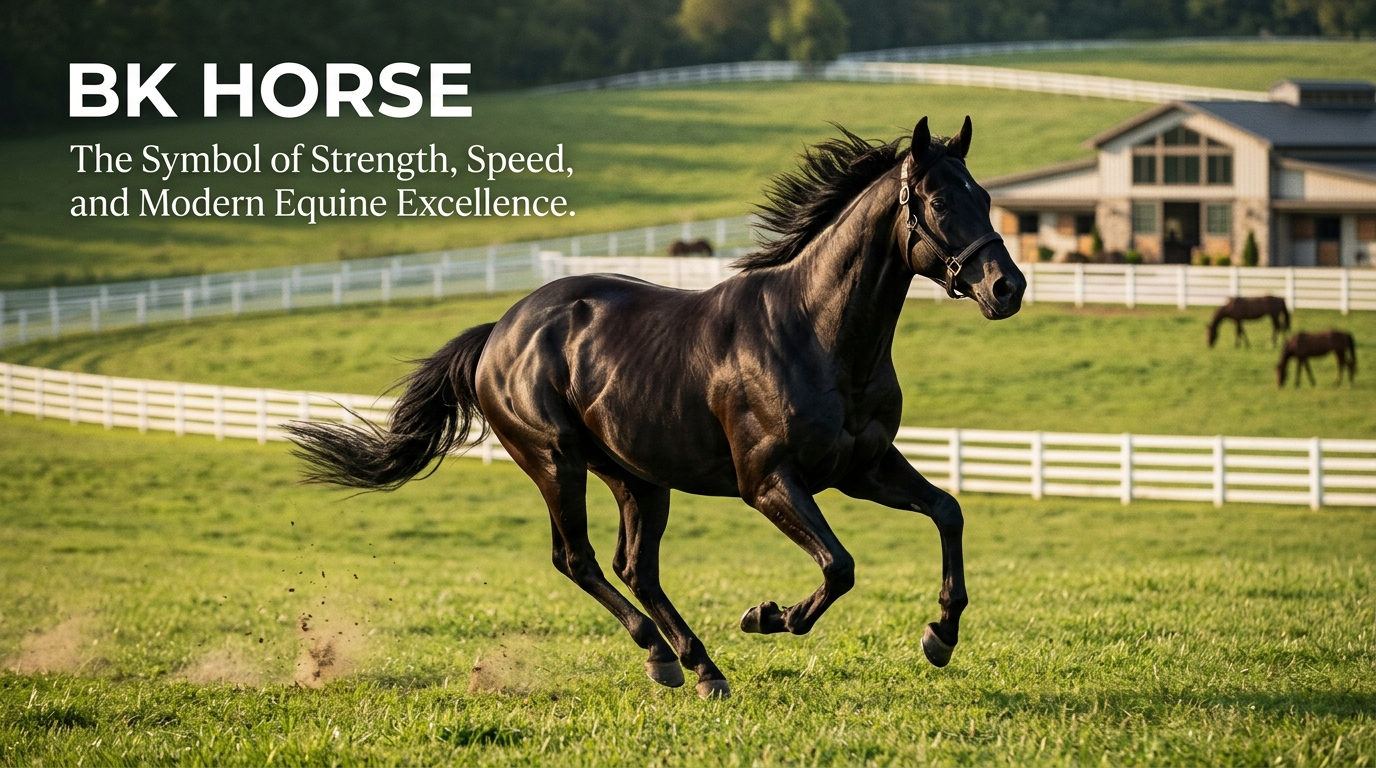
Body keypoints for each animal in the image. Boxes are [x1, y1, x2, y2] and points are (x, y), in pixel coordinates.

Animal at [288, 117, 1026, 699]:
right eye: (937, 199)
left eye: (985, 196)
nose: (1007, 287)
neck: (816, 333)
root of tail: (499, 333)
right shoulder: (768, 482)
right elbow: (838, 566)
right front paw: (768, 616)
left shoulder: (861, 468)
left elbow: (947, 512)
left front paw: (939, 635)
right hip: (556, 463)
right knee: (578, 559)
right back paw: (669, 657)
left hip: (637, 477)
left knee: (633, 567)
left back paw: (695, 666)